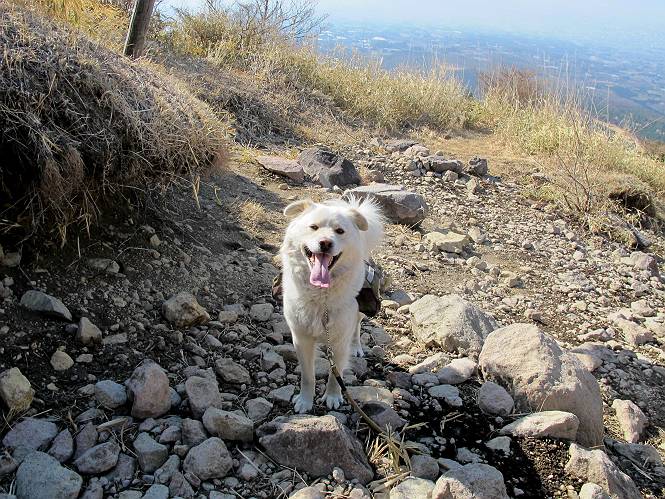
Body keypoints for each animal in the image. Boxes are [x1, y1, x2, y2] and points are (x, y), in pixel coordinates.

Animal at [280, 196, 384, 413]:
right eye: (313, 227)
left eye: (340, 231)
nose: (325, 243)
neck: (322, 297)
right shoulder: (301, 338)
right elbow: (308, 377)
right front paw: (305, 401)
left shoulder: (339, 340)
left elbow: (336, 376)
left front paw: (333, 397)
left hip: (359, 313)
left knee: (357, 327)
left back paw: (357, 347)